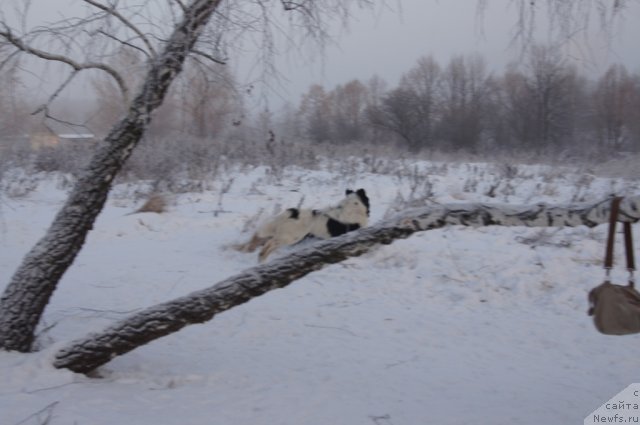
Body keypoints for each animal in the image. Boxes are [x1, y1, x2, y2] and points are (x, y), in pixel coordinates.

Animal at [238, 189, 370, 262]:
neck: (353, 208)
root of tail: (292, 213)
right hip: (291, 237)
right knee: (271, 242)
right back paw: (262, 256)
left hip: (280, 232)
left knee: (262, 237)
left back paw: (259, 255)